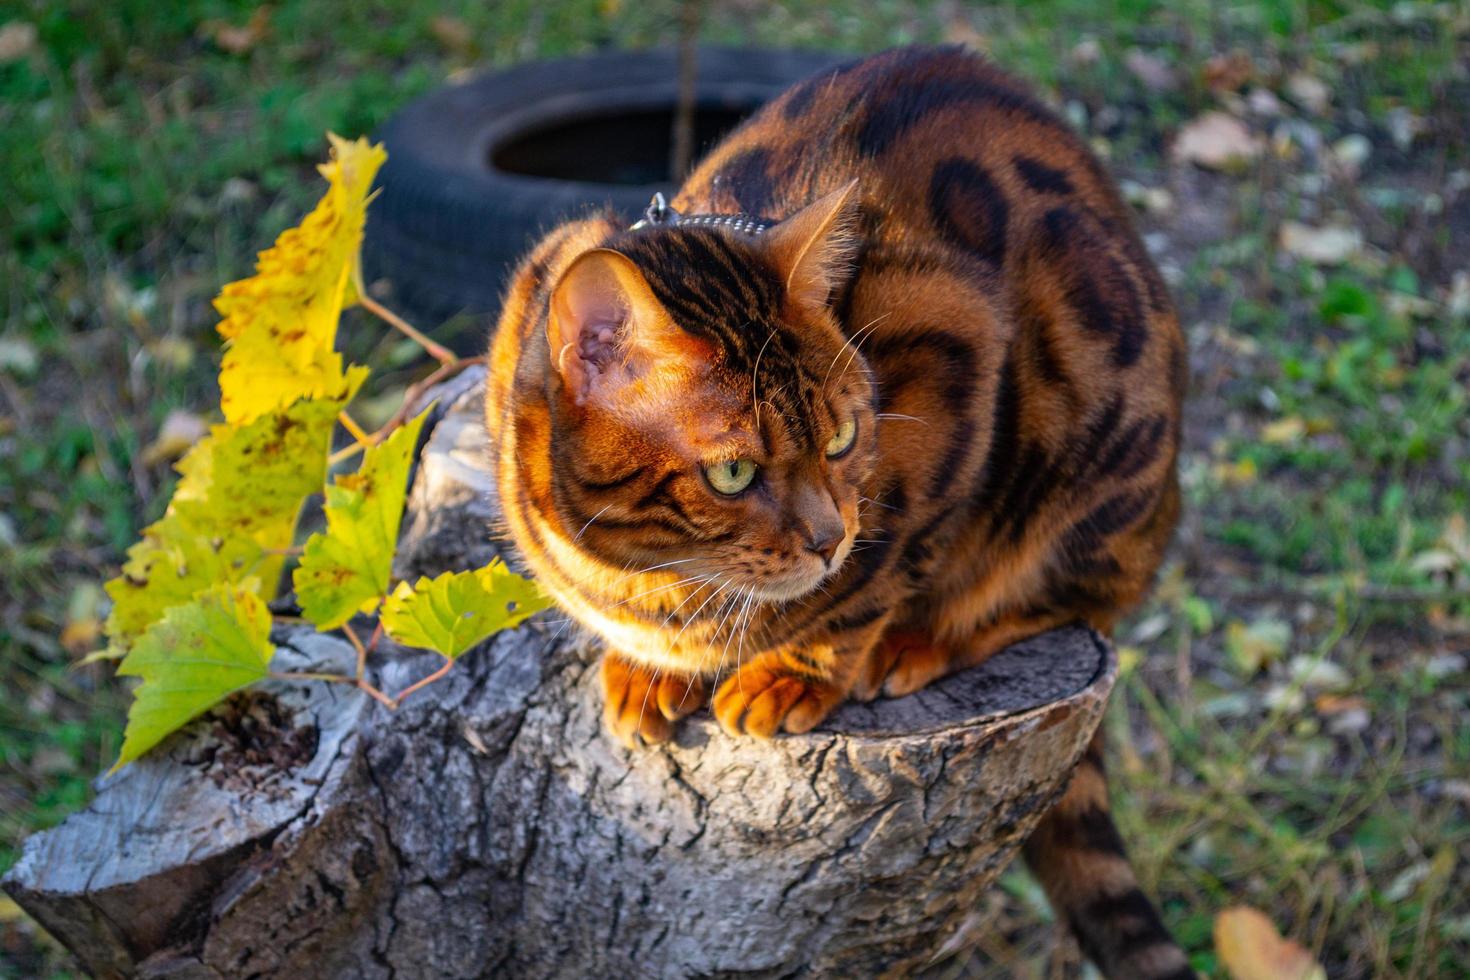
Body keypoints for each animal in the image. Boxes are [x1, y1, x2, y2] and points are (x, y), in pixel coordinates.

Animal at [488, 44, 1187, 980]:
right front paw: (646, 667)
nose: (827, 538)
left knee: (1080, 600)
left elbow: (875, 578)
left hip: (1102, 451)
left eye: (847, 435)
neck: (646, 577)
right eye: (734, 472)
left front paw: (796, 668)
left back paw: (922, 640)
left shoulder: (953, 348)